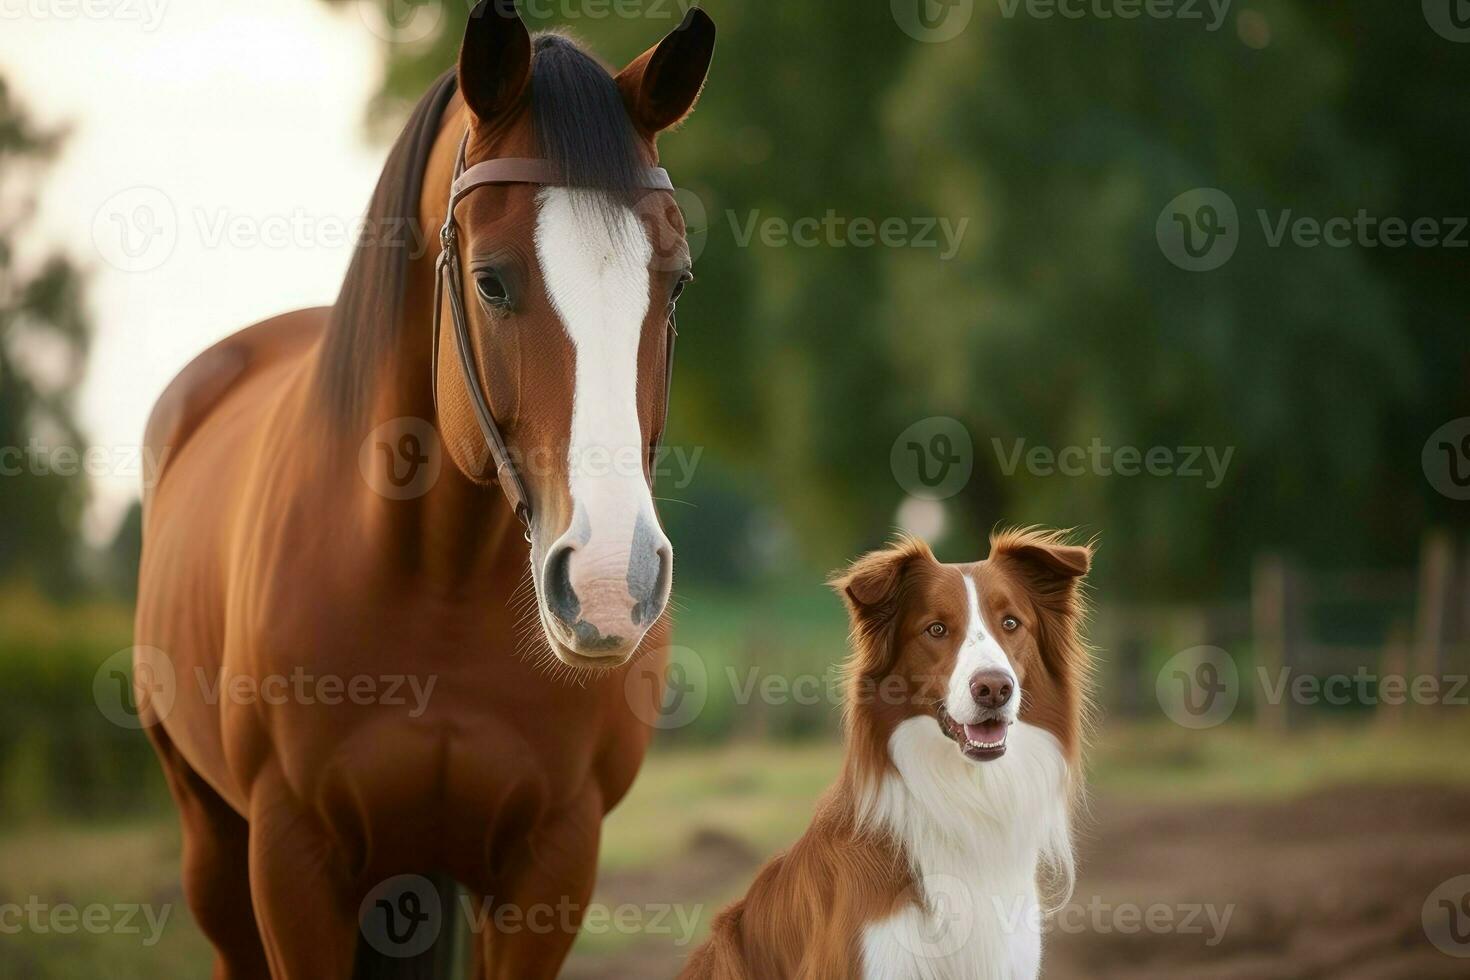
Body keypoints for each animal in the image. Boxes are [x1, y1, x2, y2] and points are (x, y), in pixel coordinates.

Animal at [129, 3, 714, 975]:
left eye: (674, 285)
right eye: (492, 281)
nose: (609, 585)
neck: (436, 579)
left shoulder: (551, 863)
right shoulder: (291, 862)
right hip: (210, 838)